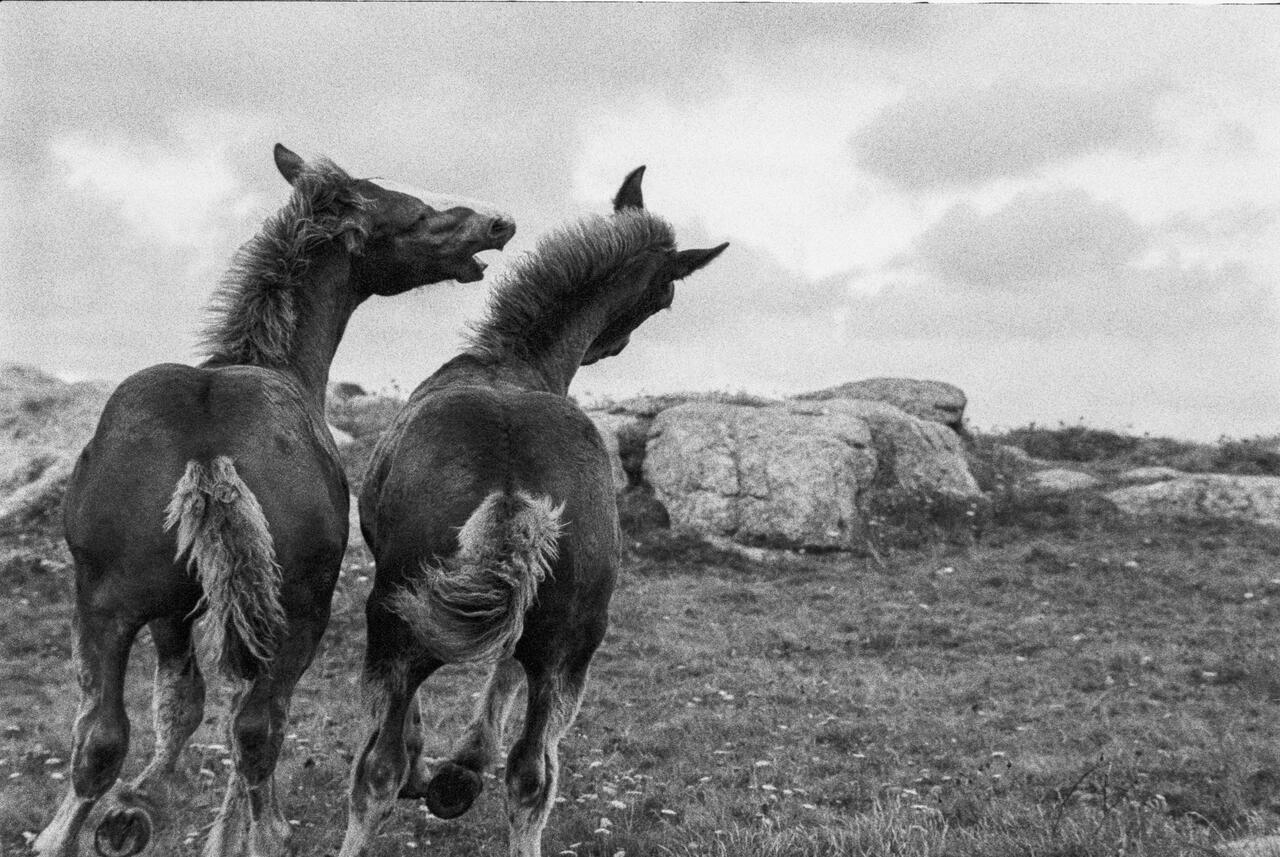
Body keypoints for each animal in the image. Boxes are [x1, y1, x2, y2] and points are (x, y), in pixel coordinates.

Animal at [35, 144, 515, 857]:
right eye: (413, 214)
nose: (497, 225)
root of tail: (209, 457)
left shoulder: (175, 609)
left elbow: (179, 704)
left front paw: (132, 809)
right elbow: (218, 714)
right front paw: (181, 819)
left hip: (104, 604)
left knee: (98, 737)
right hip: (299, 612)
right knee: (257, 730)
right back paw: (265, 832)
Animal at [337, 166, 728, 857]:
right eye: (666, 297)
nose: (610, 344)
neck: (510, 362)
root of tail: (514, 490)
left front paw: (449, 767)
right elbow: (505, 675)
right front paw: (461, 771)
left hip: (397, 627)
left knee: (377, 770)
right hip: (570, 649)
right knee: (532, 776)